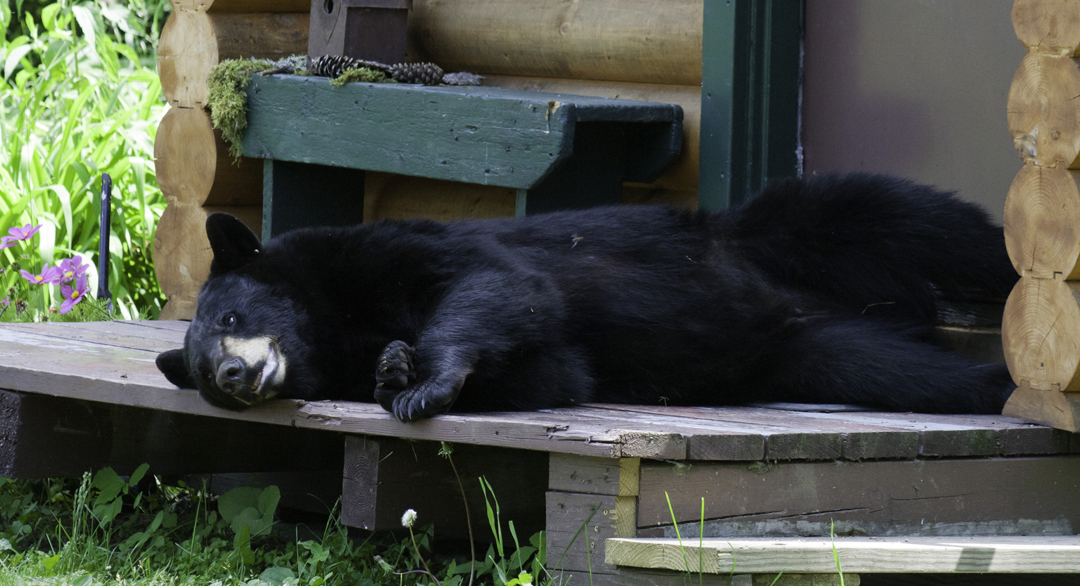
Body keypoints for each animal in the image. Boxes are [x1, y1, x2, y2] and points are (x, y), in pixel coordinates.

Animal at [156, 173, 1019, 422]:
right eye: (198, 371)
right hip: (811, 352)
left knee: (920, 220)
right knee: (906, 371)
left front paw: (422, 376)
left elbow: (492, 284)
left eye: (231, 315)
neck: (333, 323)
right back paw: (990, 381)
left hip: (782, 231)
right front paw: (395, 370)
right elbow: (557, 373)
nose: (230, 374)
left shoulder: (390, 249)